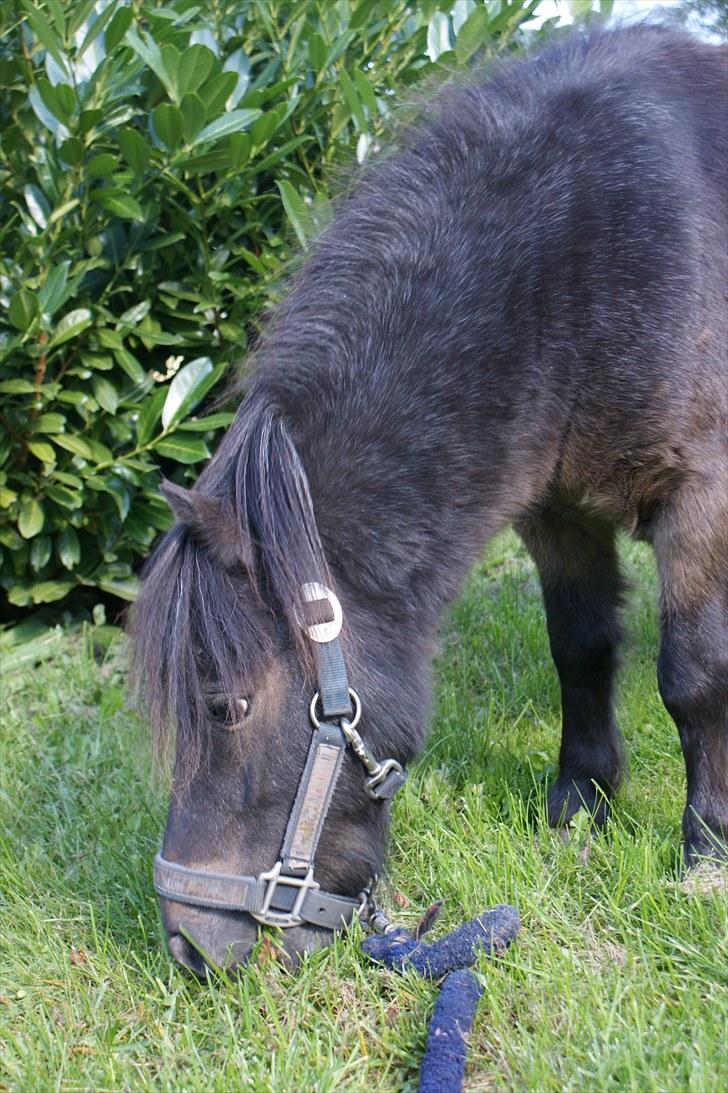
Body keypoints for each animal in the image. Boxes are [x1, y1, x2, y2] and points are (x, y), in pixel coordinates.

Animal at [131, 24, 728, 974]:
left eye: (227, 705)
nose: (190, 947)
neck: (579, 260)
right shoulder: (558, 514)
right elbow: (581, 647)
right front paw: (579, 805)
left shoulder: (700, 497)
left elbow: (694, 677)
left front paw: (705, 851)